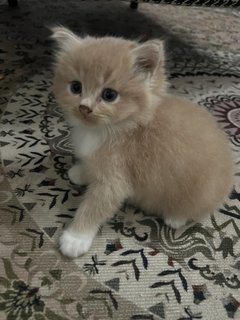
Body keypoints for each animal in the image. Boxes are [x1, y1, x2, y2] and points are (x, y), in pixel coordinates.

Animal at [51, 26, 233, 258]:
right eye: (76, 87)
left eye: (109, 95)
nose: (84, 107)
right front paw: (81, 172)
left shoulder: (115, 180)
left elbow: (94, 207)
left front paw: (76, 238)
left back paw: (175, 218)